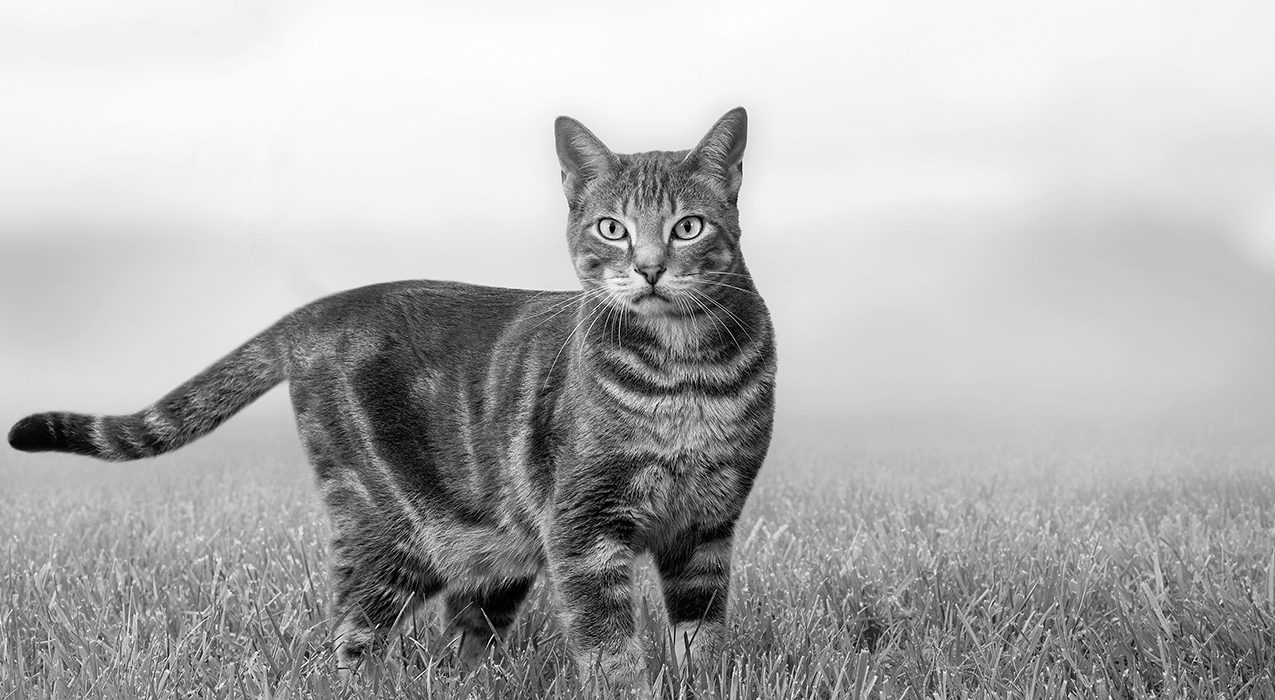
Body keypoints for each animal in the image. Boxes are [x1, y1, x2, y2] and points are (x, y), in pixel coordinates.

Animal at [7, 107, 775, 693]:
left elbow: (702, 639)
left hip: (491, 545)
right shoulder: (584, 528)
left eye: (687, 226)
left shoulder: (707, 528)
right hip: (388, 528)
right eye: (611, 227)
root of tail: (318, 308)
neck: (685, 378)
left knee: (461, 637)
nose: (649, 268)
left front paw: (704, 683)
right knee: (348, 638)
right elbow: (611, 649)